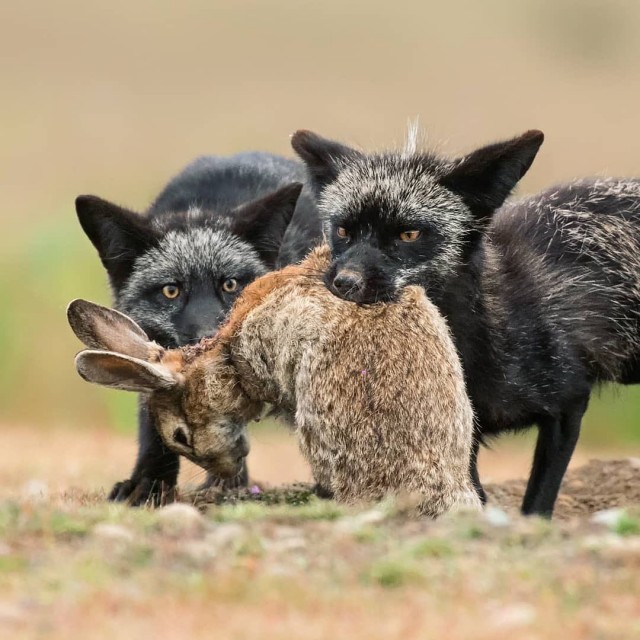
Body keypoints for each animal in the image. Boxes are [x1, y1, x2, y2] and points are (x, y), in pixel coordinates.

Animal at [292, 127, 640, 516]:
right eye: (342, 232)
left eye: (409, 234)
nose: (345, 282)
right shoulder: (460, 430)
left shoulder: (569, 402)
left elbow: (537, 503)